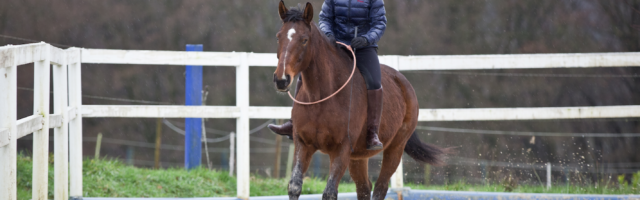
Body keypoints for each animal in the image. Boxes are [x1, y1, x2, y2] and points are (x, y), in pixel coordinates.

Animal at [272, 1, 444, 198]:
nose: (281, 79)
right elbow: (294, 186)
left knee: (380, 187)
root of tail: (403, 81)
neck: (322, 97)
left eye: (304, 39)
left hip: (395, 148)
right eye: (278, 37)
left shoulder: (342, 149)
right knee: (364, 188)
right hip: (358, 157)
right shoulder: (303, 144)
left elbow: (329, 192)